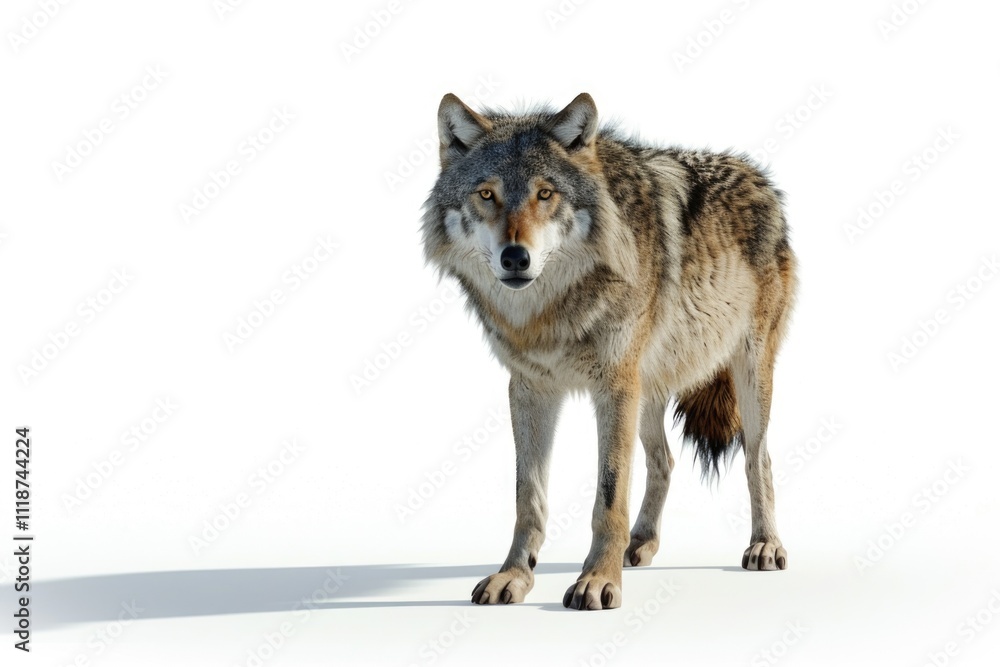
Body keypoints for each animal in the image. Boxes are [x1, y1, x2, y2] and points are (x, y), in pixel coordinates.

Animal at [421, 92, 796, 610]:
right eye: (486, 194)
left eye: (545, 194)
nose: (515, 257)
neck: (550, 315)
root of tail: (760, 177)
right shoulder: (530, 390)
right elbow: (527, 498)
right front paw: (514, 576)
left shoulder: (614, 387)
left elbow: (609, 495)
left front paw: (598, 580)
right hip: (648, 389)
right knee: (664, 460)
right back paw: (641, 543)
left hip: (746, 374)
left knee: (759, 459)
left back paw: (765, 545)